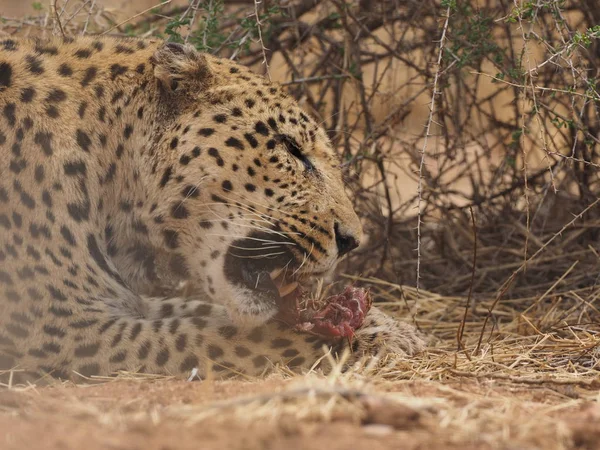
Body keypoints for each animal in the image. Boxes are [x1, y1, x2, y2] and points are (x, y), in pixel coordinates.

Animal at [0, 35, 424, 382]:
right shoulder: (67, 330)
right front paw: (365, 343)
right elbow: (230, 338)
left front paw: (388, 326)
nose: (352, 240)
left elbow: (197, 310)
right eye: (290, 149)